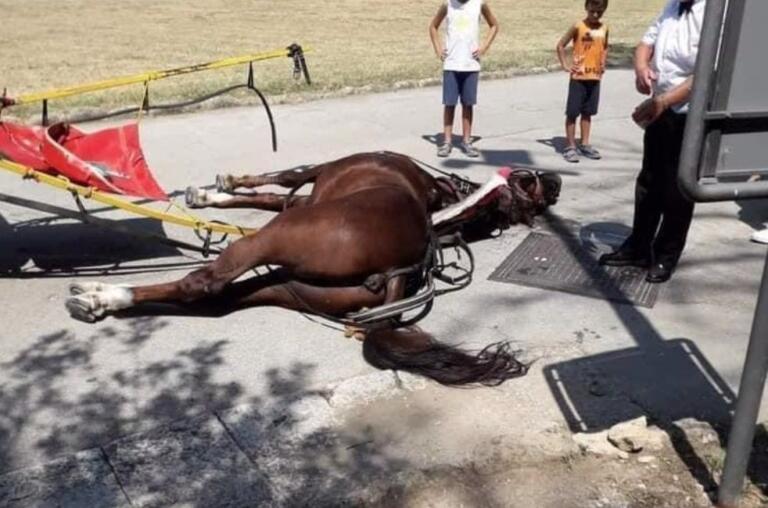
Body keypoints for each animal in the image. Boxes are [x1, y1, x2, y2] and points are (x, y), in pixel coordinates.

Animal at [66, 151, 561, 386]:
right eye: (532, 182)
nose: (556, 180)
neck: (439, 200)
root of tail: (398, 269)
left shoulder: (316, 178)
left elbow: (283, 179)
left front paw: (217, 189)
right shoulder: (308, 197)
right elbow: (269, 194)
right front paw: (211, 195)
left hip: (272, 239)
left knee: (204, 283)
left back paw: (103, 296)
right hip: (287, 285)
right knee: (220, 300)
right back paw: (105, 300)